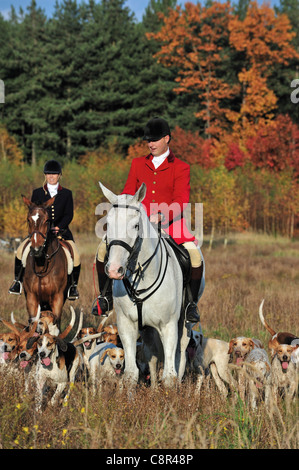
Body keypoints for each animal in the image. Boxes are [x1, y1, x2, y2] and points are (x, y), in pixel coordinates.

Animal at [22, 196, 69, 326]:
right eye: (28, 220)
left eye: (47, 220)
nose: (36, 249)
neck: (41, 265)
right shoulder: (31, 298)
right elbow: (33, 322)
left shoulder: (58, 298)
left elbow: (55, 323)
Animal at [99, 182, 191, 388]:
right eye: (108, 224)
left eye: (135, 226)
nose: (114, 269)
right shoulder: (126, 325)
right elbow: (131, 374)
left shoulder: (169, 326)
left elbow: (170, 376)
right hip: (147, 330)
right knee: (152, 356)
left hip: (182, 324)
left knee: (180, 355)